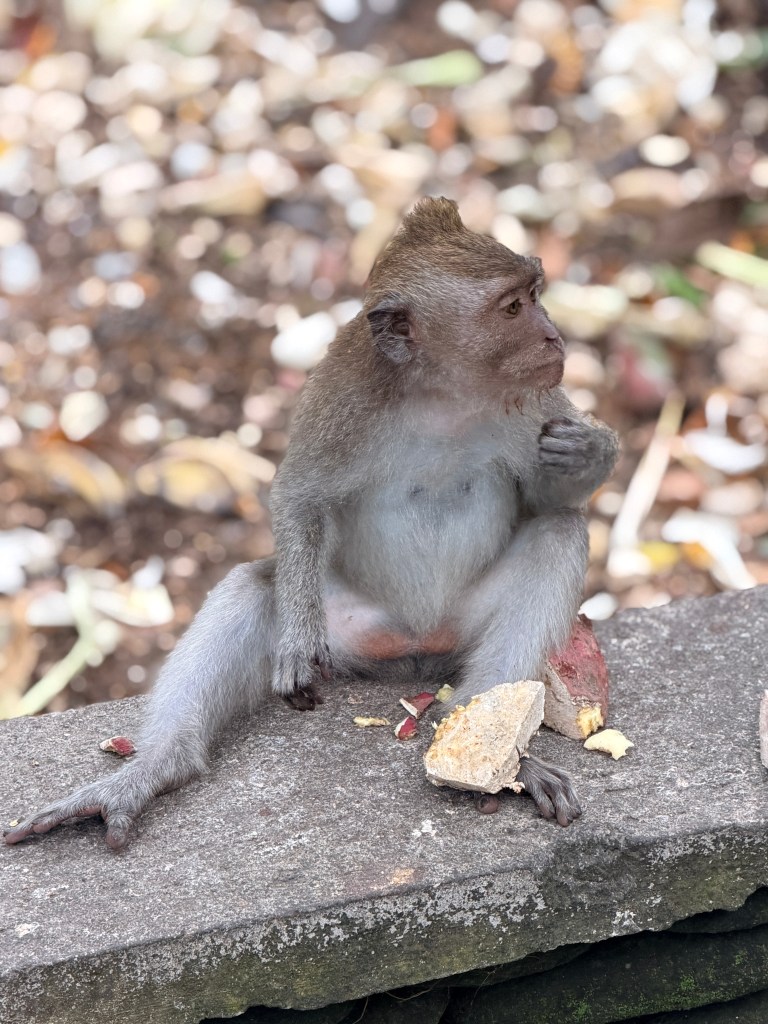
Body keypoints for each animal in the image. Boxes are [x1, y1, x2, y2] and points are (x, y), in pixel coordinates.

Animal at [4, 197, 619, 850]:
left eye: (533, 293)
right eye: (512, 307)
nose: (553, 337)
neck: (442, 395)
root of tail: (415, 647)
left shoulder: (537, 403)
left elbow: (547, 498)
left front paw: (593, 452)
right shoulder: (340, 398)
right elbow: (300, 497)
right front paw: (297, 637)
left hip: (461, 628)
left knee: (558, 534)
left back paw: (496, 742)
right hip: (349, 631)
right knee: (253, 587)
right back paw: (156, 767)